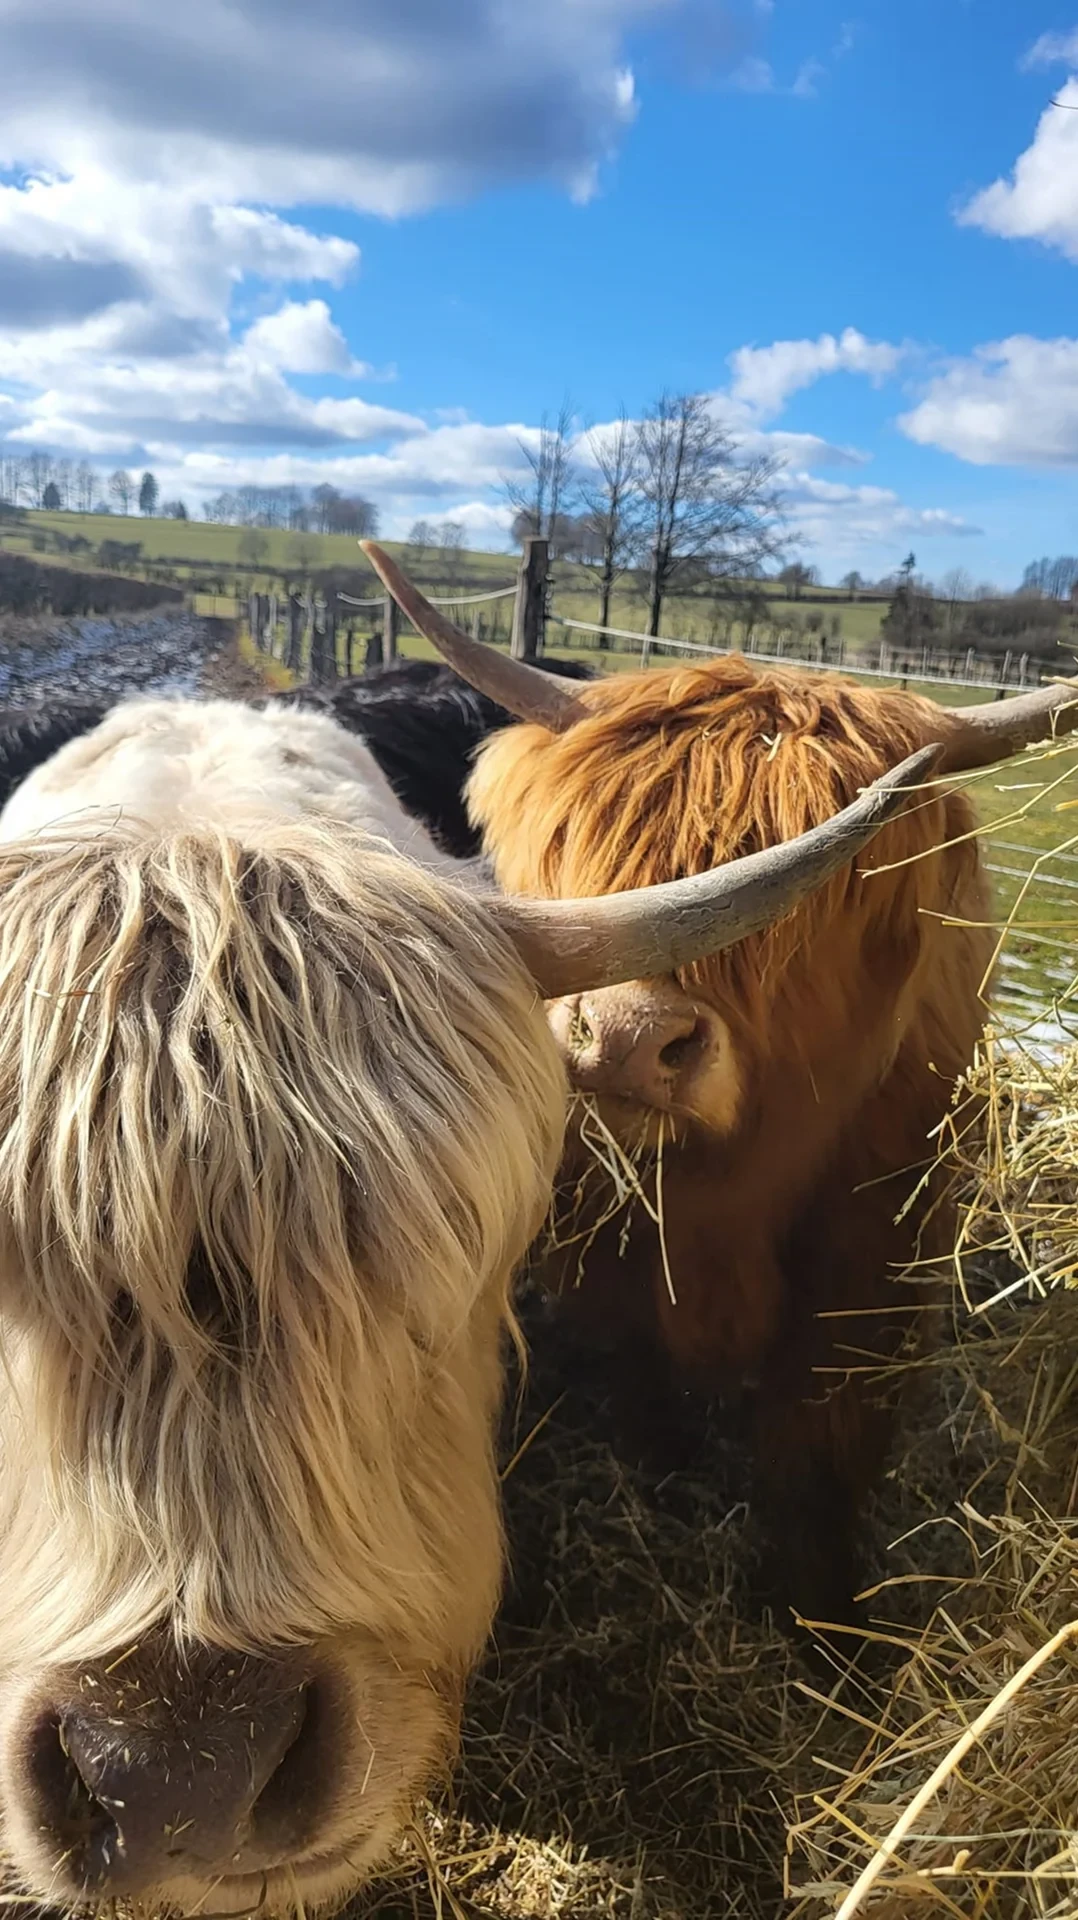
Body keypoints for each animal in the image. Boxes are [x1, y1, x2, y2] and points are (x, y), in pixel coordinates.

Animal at [362, 540, 1078, 1637]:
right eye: (585, 838)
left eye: (834, 884)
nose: (625, 1038)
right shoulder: (608, 1233)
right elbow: (641, 1371)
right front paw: (659, 1467)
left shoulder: (872, 1256)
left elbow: (821, 1446)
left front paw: (826, 1624)